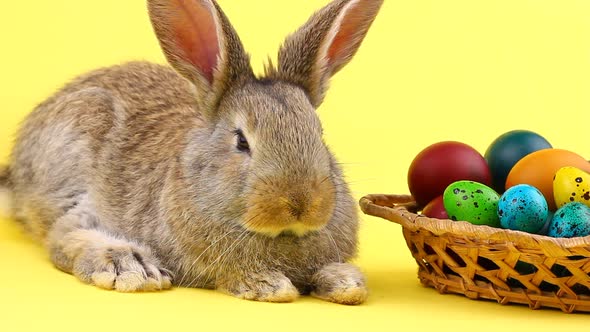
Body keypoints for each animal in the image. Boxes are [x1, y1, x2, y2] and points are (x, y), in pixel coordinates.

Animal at [0, 0, 386, 304]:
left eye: (319, 135)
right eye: (241, 141)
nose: (301, 203)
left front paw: (347, 283)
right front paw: (268, 285)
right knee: (61, 237)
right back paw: (132, 268)